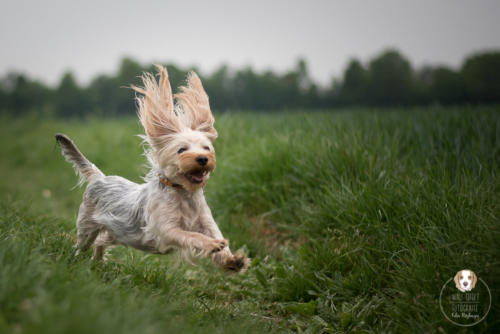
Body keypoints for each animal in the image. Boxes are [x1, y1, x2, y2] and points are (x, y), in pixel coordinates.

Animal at [56, 65, 248, 272]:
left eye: (207, 148)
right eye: (182, 150)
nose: (203, 159)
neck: (183, 192)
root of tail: (99, 177)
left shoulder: (206, 221)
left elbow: (216, 235)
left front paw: (232, 260)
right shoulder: (166, 230)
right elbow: (191, 236)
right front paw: (211, 244)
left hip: (118, 231)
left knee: (101, 241)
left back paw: (98, 262)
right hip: (88, 226)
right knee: (82, 244)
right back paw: (76, 260)